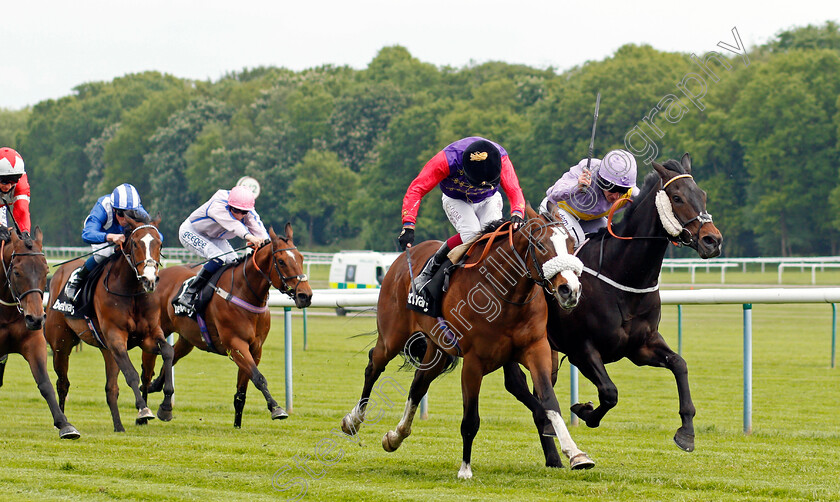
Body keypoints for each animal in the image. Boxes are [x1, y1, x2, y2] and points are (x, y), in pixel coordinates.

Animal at [0, 227, 79, 440]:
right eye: (17, 272)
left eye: (46, 271)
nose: (35, 319)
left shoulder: (34, 341)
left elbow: (44, 382)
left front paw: (65, 424)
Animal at [45, 212, 174, 432]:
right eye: (135, 243)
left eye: (160, 244)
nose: (149, 280)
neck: (131, 292)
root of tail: (57, 277)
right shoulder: (116, 337)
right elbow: (131, 374)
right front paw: (143, 410)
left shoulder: (148, 335)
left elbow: (168, 352)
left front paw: (165, 407)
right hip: (61, 344)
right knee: (62, 383)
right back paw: (62, 423)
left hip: (106, 350)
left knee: (111, 388)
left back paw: (118, 426)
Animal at [143, 224, 314, 428]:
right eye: (281, 261)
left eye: (301, 258)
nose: (305, 295)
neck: (244, 291)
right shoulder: (236, 345)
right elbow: (259, 378)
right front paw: (276, 408)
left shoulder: (255, 348)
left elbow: (242, 390)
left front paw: (237, 425)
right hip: (156, 331)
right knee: (146, 371)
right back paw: (143, 412)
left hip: (187, 338)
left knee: (170, 359)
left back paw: (162, 401)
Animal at [338, 207, 592, 478]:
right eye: (541, 245)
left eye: (570, 243)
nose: (570, 290)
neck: (505, 295)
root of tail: (401, 260)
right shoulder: (474, 362)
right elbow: (470, 418)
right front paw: (465, 469)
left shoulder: (536, 349)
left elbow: (549, 402)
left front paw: (576, 454)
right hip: (392, 336)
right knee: (373, 366)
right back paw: (353, 420)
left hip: (437, 348)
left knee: (418, 384)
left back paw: (396, 436)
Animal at [502, 154, 724, 462]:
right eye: (677, 197)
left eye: (702, 195)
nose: (712, 240)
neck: (622, 275)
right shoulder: (581, 349)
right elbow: (609, 392)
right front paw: (584, 411)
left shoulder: (640, 346)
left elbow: (679, 364)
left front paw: (686, 432)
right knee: (518, 385)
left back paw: (554, 458)